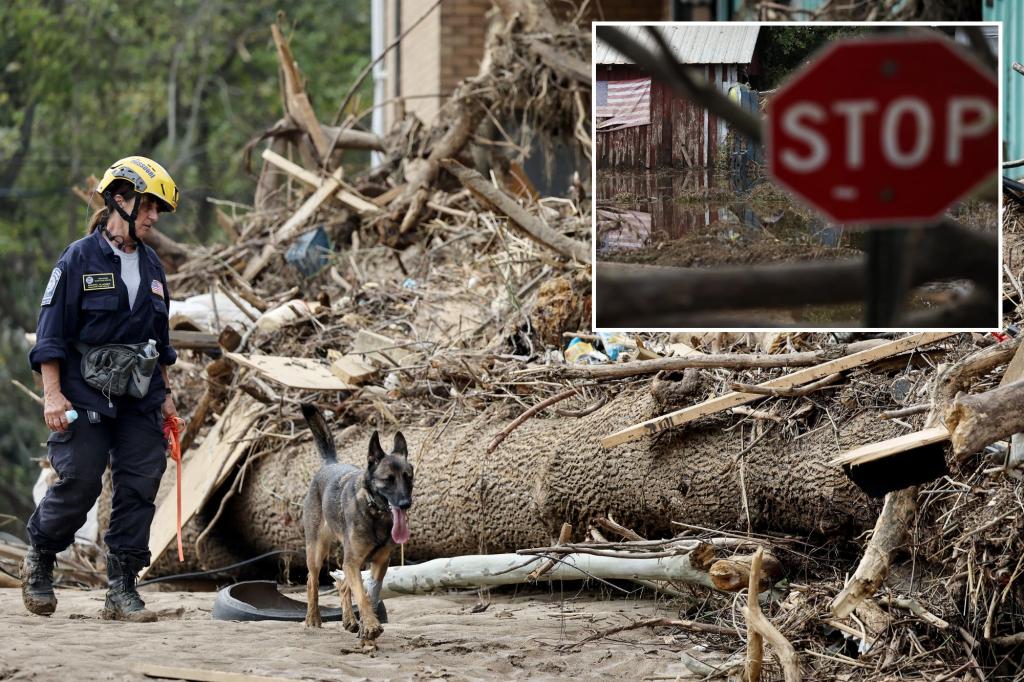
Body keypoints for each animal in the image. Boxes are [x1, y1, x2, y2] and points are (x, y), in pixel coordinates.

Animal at [299, 401, 415, 647]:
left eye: (408, 477)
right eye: (388, 480)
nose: (405, 504)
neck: (375, 514)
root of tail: (330, 464)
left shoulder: (378, 563)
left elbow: (369, 595)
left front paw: (365, 627)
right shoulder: (352, 562)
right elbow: (361, 595)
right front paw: (370, 626)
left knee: (343, 585)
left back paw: (350, 621)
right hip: (317, 550)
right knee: (312, 581)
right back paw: (313, 618)